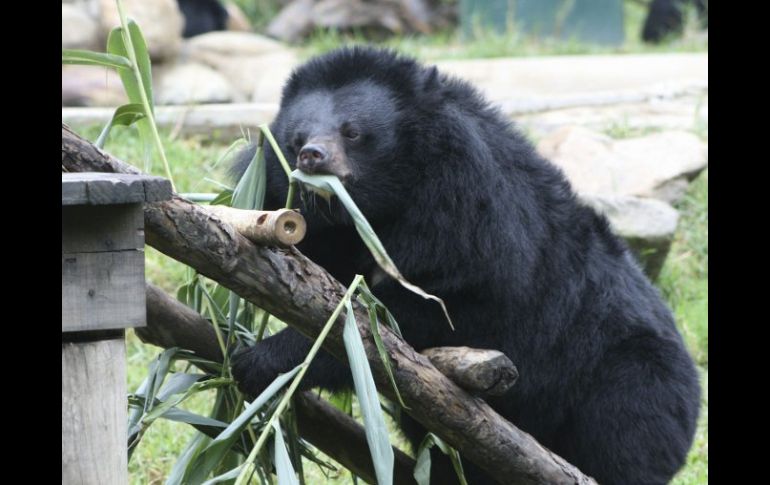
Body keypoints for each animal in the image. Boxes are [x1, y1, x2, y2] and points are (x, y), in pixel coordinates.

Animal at [228, 46, 696, 484]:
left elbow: (411, 320)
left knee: (623, 438)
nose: (312, 156)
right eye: (296, 137)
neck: (385, 205)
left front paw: (263, 360)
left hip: (628, 380)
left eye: (354, 132)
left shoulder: (472, 225)